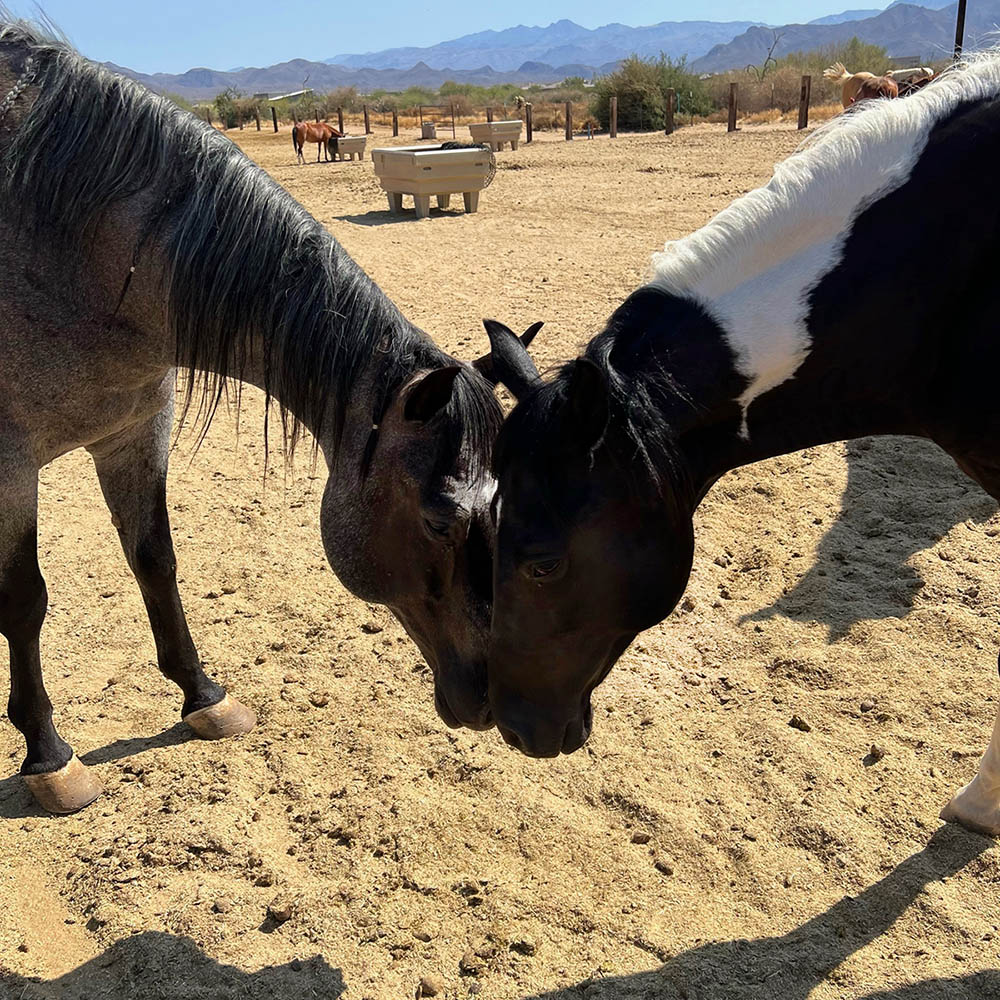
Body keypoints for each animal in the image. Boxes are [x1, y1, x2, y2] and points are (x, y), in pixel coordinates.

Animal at [0, 21, 531, 814]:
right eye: (441, 519)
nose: (501, 694)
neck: (66, 240)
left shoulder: (133, 434)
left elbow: (155, 560)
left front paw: (202, 695)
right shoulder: (10, 465)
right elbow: (25, 602)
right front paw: (48, 756)